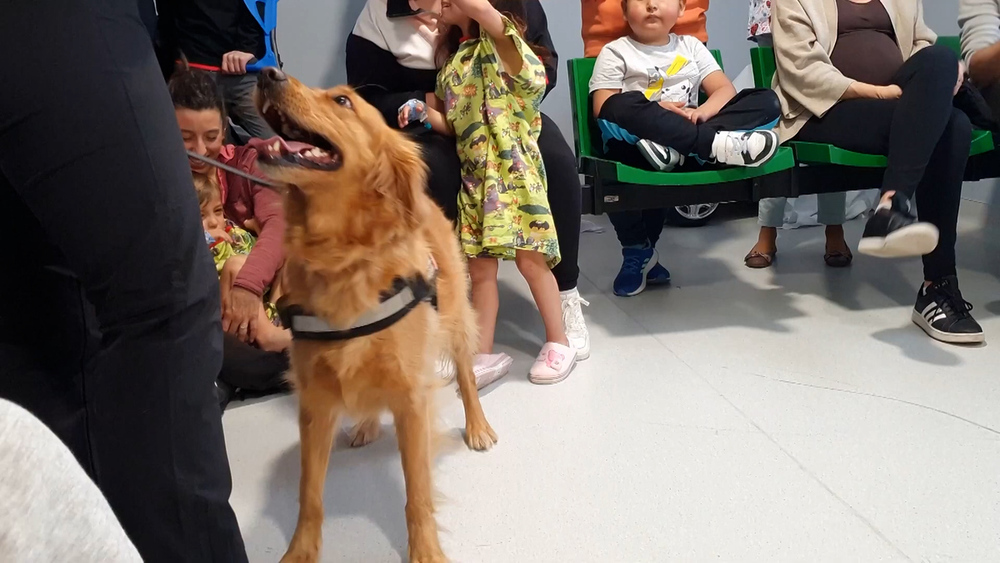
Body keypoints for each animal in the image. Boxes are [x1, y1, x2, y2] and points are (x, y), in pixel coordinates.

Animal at [252, 67, 498, 563]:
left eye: (343, 101)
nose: (266, 72)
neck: (342, 259)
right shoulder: (315, 401)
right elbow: (309, 494)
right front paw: (300, 551)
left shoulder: (412, 396)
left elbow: (417, 493)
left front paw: (426, 550)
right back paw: (365, 423)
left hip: (456, 321)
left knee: (465, 374)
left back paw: (478, 426)